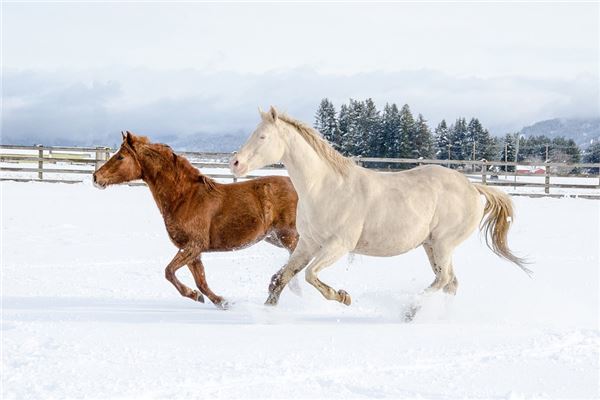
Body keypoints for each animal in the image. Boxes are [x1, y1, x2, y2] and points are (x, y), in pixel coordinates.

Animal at [92, 132, 298, 310]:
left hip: (288, 235)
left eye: (120, 157)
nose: (96, 177)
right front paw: (221, 302)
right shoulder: (192, 251)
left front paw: (196, 295)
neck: (185, 197)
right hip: (273, 237)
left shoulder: (194, 245)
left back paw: (274, 288)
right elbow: (201, 282)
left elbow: (169, 271)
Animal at [230, 106, 528, 306]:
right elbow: (283, 277)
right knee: (450, 282)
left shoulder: (339, 245)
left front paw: (343, 297)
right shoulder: (308, 243)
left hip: (444, 243)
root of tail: (473, 187)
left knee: (444, 280)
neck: (325, 188)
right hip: (431, 245)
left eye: (263, 137)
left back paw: (410, 310)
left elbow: (311, 276)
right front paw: (269, 311)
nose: (235, 163)